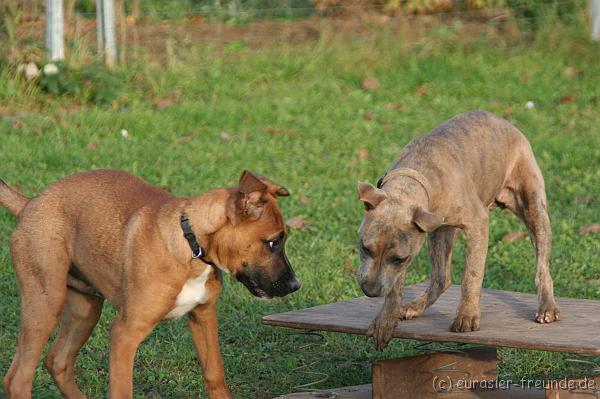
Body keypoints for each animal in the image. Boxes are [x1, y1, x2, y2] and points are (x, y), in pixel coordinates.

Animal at [0, 170, 300, 399]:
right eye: (273, 242)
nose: (295, 286)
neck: (191, 245)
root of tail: (29, 203)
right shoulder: (125, 334)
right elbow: (122, 392)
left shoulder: (203, 316)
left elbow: (215, 375)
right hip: (45, 302)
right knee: (18, 379)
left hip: (84, 310)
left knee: (57, 362)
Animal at [356, 110, 556, 350]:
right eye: (365, 248)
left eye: (399, 259)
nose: (370, 291)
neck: (412, 183)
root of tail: (504, 121)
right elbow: (396, 286)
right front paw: (386, 319)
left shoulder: (478, 223)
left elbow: (472, 275)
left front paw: (467, 317)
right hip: (440, 231)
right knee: (442, 277)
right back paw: (416, 306)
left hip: (534, 209)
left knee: (542, 268)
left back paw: (547, 308)